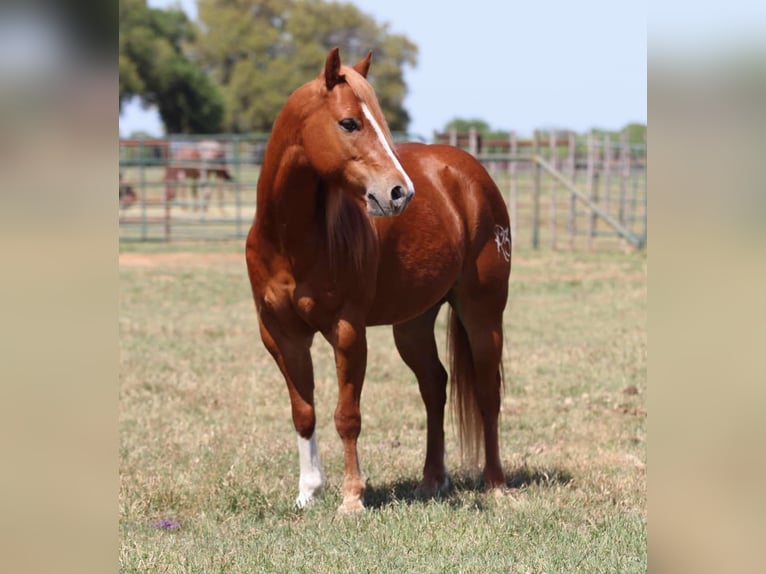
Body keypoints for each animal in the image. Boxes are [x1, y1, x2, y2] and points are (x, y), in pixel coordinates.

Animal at [245, 48, 512, 514]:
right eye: (349, 122)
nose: (400, 193)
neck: (289, 240)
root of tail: (470, 173)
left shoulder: (348, 331)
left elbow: (347, 415)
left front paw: (352, 498)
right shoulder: (280, 334)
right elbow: (304, 412)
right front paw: (308, 492)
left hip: (483, 313)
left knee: (486, 392)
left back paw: (494, 483)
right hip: (413, 324)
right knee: (434, 386)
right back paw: (431, 480)